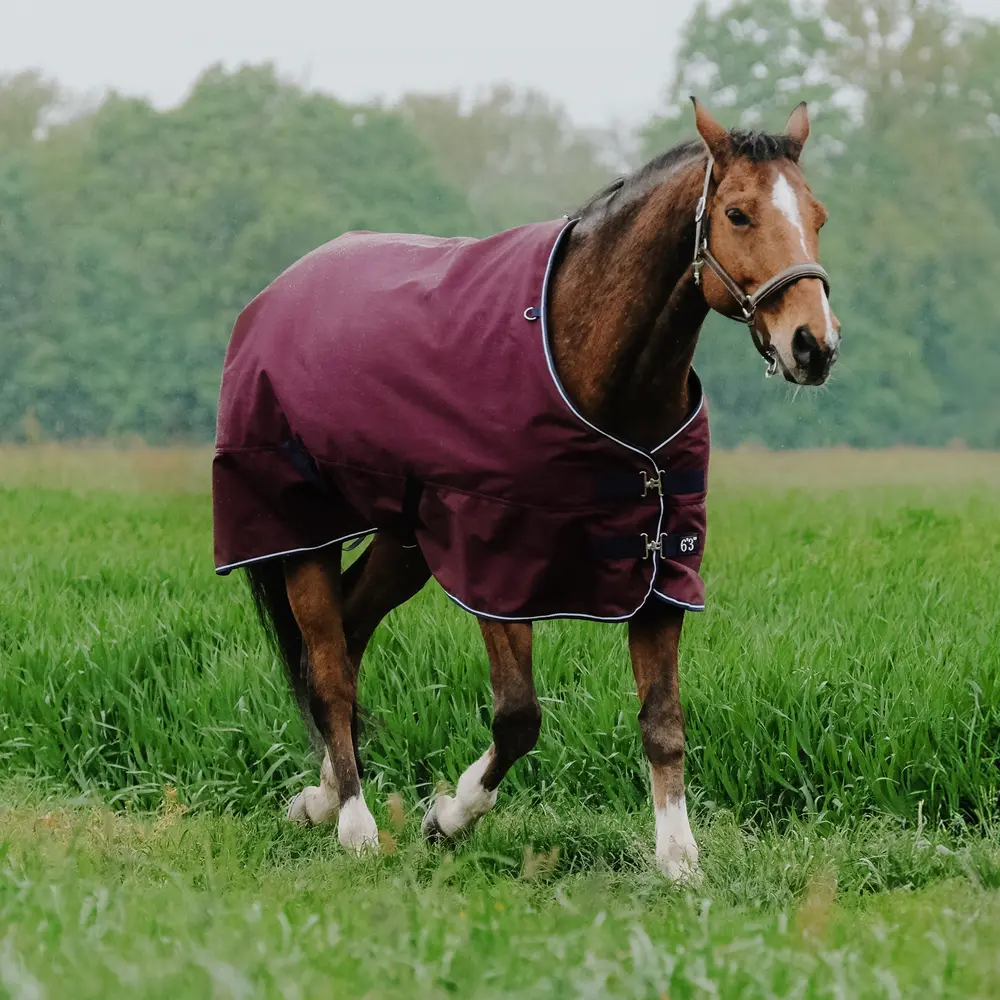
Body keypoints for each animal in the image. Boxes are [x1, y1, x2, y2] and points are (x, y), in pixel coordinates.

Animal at [212, 98, 839, 880]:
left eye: (818, 215)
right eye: (738, 213)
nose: (814, 345)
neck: (589, 361)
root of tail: (272, 297)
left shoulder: (660, 565)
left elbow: (663, 722)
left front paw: (679, 860)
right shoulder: (497, 563)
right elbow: (518, 717)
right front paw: (448, 818)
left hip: (404, 542)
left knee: (350, 636)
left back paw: (318, 800)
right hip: (302, 531)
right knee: (327, 663)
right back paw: (354, 824)